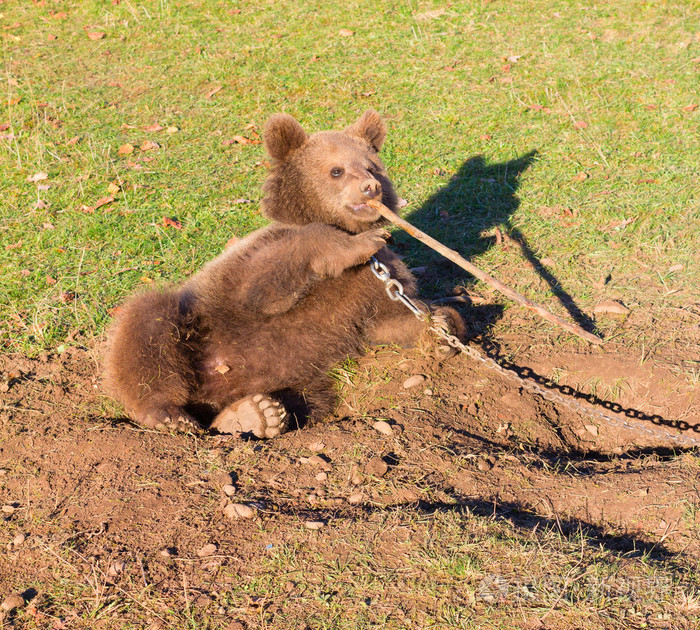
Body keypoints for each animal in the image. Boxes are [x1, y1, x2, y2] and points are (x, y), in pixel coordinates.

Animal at [103, 109, 465, 438]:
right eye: (336, 170)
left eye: (371, 166)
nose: (370, 187)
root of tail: (211, 391)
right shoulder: (254, 263)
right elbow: (264, 284)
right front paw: (353, 245)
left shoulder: (375, 282)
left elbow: (391, 319)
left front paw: (441, 328)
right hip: (196, 328)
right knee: (149, 328)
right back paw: (169, 415)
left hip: (296, 375)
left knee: (308, 399)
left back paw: (255, 414)